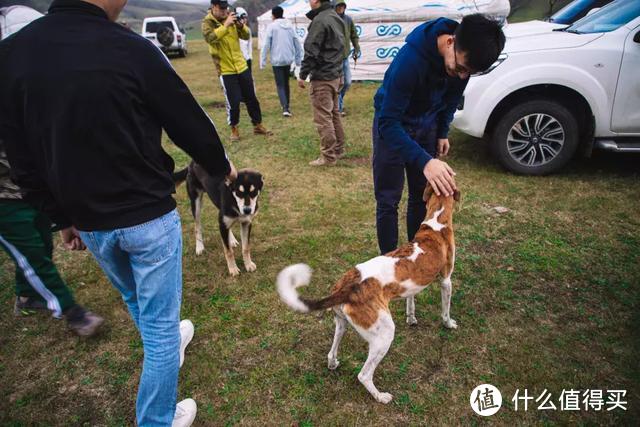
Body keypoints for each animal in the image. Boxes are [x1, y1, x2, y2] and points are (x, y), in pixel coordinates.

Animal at [276, 186, 460, 404]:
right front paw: (449, 324)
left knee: (331, 352)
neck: (436, 222)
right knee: (363, 375)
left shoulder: (412, 286)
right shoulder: (446, 280)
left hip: (342, 323)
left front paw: (411, 318)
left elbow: (410, 301)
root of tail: (346, 287)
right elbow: (445, 311)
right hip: (384, 334)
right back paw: (380, 396)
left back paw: (333, 364)